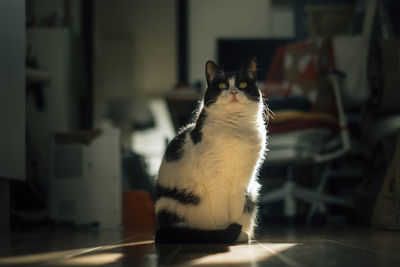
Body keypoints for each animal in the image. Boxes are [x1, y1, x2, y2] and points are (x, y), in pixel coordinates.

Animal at [155, 59, 268, 245]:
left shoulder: (243, 180)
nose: (233, 91)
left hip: (252, 193)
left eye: (243, 84)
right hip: (171, 205)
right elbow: (221, 214)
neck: (234, 131)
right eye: (222, 85)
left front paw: (237, 233)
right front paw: (226, 234)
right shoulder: (215, 179)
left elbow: (235, 211)